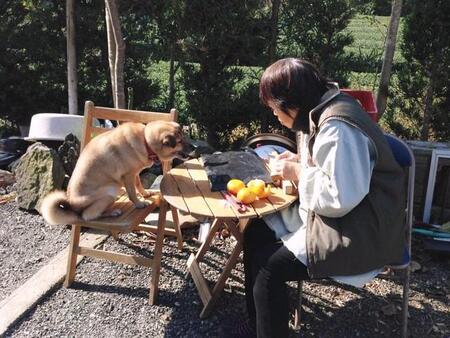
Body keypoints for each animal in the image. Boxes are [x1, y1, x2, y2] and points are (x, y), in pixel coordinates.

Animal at [40, 120, 192, 226]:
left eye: (185, 137)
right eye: (180, 141)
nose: (195, 147)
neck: (145, 141)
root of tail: (71, 206)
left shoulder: (134, 174)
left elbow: (138, 185)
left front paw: (144, 194)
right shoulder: (128, 175)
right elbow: (132, 193)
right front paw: (139, 203)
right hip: (109, 191)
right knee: (88, 216)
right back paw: (112, 212)